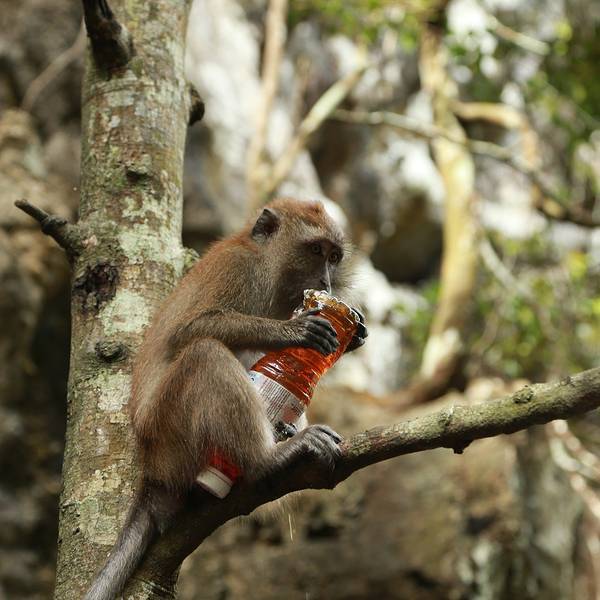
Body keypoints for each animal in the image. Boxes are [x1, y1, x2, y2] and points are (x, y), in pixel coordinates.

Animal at [83, 198, 368, 600]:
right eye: (315, 251)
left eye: (334, 256)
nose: (326, 283)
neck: (266, 265)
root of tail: (152, 470)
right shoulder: (238, 270)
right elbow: (189, 329)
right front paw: (293, 331)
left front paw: (353, 332)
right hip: (172, 437)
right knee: (205, 354)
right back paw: (268, 458)